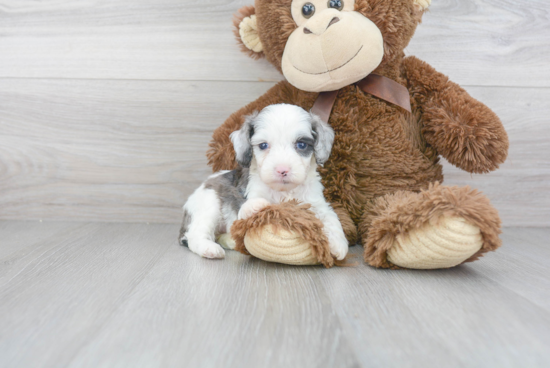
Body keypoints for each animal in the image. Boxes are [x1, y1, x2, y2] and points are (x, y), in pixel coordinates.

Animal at [179, 102, 350, 260]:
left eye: (301, 144)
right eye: (263, 145)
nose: (282, 170)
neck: (283, 191)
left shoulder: (315, 202)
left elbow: (331, 218)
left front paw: (339, 245)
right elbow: (248, 208)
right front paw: (256, 205)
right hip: (209, 204)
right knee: (195, 234)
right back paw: (209, 248)